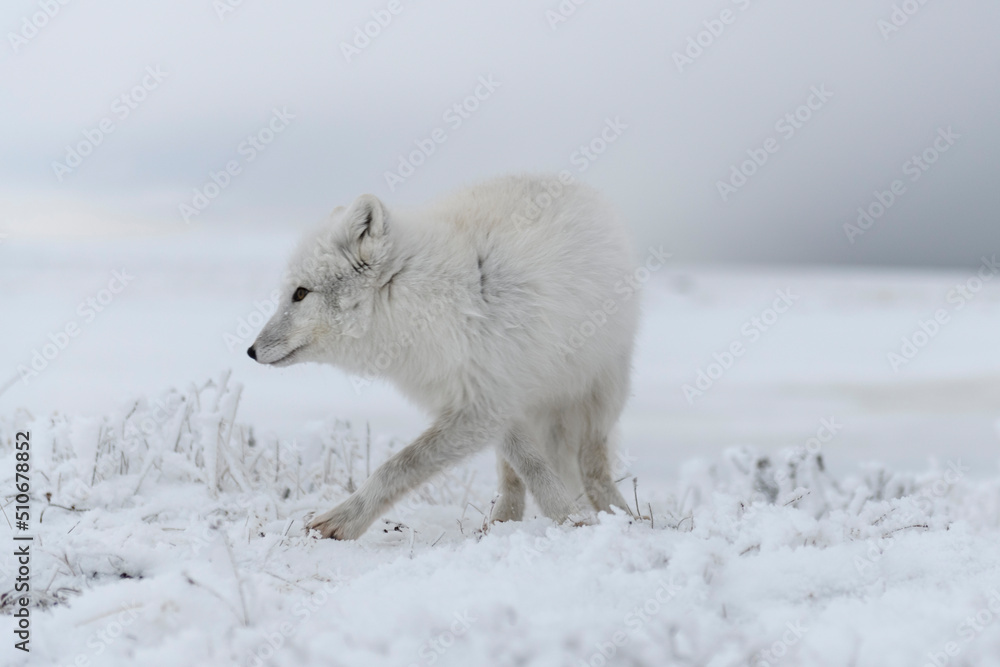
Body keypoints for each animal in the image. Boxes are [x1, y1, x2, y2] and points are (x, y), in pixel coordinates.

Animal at [249, 175, 640, 540]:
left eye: (301, 293)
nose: (250, 351)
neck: (420, 301)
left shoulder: (484, 404)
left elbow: (398, 466)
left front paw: (573, 521)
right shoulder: (485, 403)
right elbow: (530, 466)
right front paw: (566, 517)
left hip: (599, 396)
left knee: (593, 469)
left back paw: (624, 516)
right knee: (513, 477)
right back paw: (502, 523)